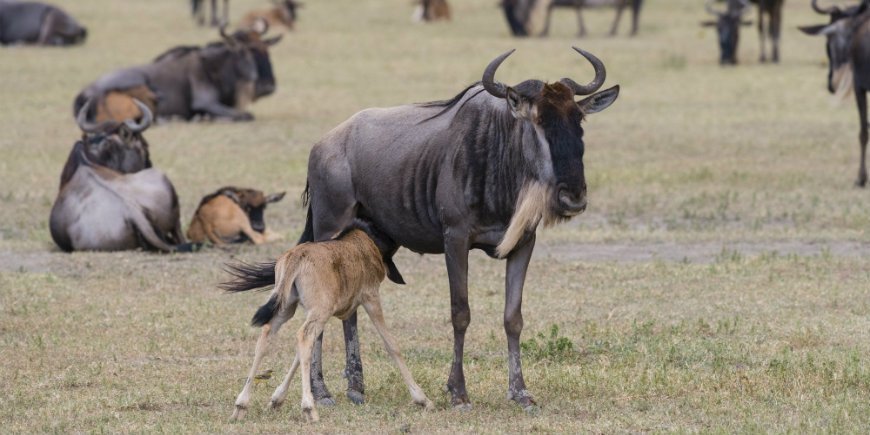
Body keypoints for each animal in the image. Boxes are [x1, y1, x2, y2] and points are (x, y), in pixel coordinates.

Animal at [73, 27, 281, 123]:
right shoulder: (205, 103)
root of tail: (84, 92)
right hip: (138, 81)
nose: (267, 86)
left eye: (267, 51)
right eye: (243, 51)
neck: (216, 71)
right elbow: (245, 115)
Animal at [230, 48, 619, 410]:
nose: (573, 197)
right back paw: (324, 392)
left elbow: (513, 317)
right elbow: (460, 313)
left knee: (349, 310)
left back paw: (356, 388)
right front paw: (458, 393)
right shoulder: (455, 239)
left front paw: (520, 392)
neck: (500, 159)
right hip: (328, 229)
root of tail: (321, 145)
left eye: (579, 119)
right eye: (537, 121)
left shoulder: (524, 242)